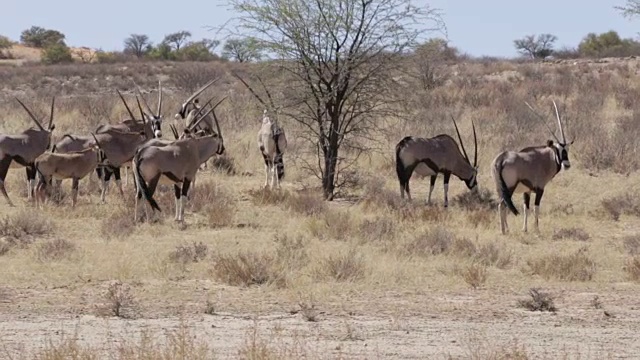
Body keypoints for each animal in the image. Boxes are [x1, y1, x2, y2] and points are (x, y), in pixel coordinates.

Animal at [492, 100, 572, 235]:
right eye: (558, 149)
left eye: (567, 149)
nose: (566, 165)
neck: (543, 159)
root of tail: (501, 159)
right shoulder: (539, 189)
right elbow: (536, 208)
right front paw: (537, 230)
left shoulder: (527, 191)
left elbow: (526, 208)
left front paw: (524, 229)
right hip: (510, 187)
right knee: (502, 205)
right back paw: (503, 230)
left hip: (500, 188)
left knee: (502, 205)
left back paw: (506, 229)